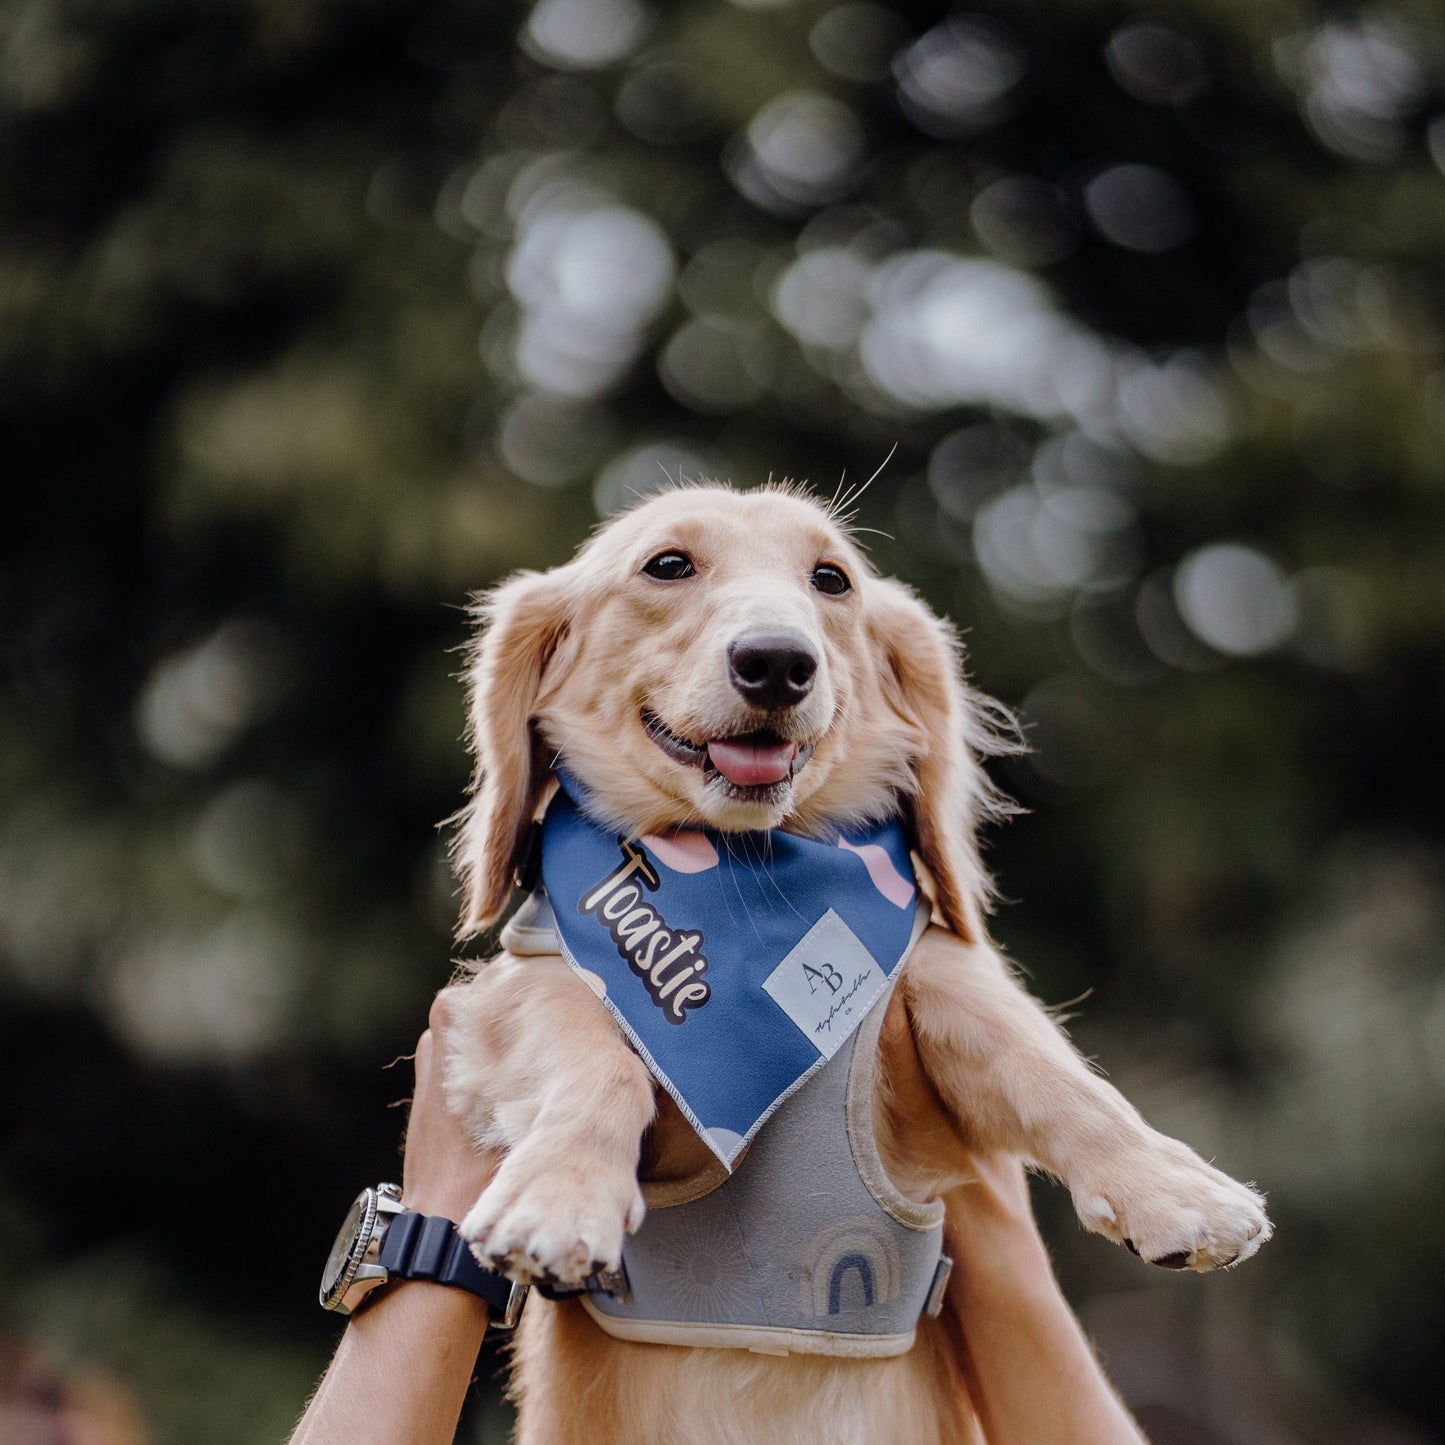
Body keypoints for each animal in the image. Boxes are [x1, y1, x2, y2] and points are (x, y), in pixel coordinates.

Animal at [439, 488, 1265, 1445]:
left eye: (830, 579)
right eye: (667, 565)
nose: (777, 662)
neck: (748, 877)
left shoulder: (934, 971)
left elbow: (1051, 1070)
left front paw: (1173, 1188)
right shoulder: (520, 987)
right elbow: (597, 1063)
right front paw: (561, 1195)